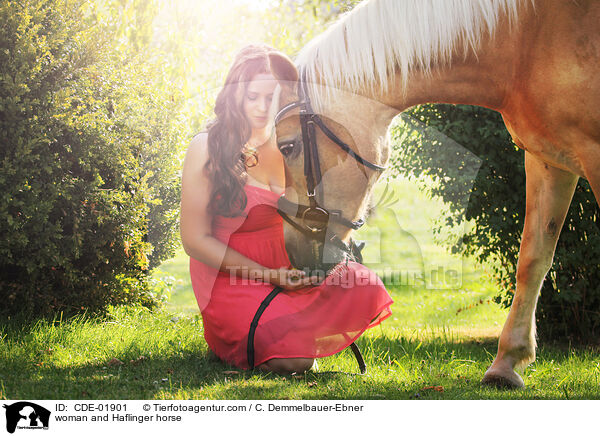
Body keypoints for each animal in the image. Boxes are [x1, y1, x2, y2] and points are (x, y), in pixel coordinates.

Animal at [268, 0, 600, 388]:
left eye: (288, 147)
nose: (293, 251)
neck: (524, 41)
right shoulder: (547, 159)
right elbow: (532, 260)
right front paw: (506, 363)